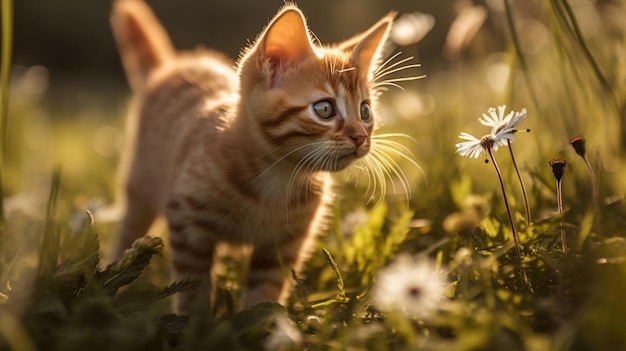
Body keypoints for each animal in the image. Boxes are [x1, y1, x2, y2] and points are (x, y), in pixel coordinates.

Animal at [108, 0, 410, 314]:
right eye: (324, 109)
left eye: (365, 111)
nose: (361, 136)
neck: (276, 175)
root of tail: (173, 66)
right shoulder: (186, 220)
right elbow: (193, 287)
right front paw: (195, 321)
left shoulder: (283, 245)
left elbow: (264, 294)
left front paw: (264, 323)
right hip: (139, 186)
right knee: (127, 232)